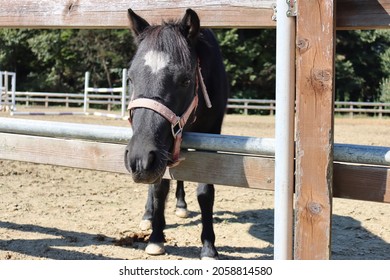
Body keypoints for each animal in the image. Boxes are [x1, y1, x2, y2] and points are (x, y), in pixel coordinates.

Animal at [125, 7, 229, 260]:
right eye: (131, 78)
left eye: (185, 80)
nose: (139, 160)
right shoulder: (159, 153)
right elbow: (159, 187)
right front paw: (155, 237)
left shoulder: (211, 137)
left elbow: (205, 191)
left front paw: (209, 247)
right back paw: (148, 215)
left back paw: (181, 206)